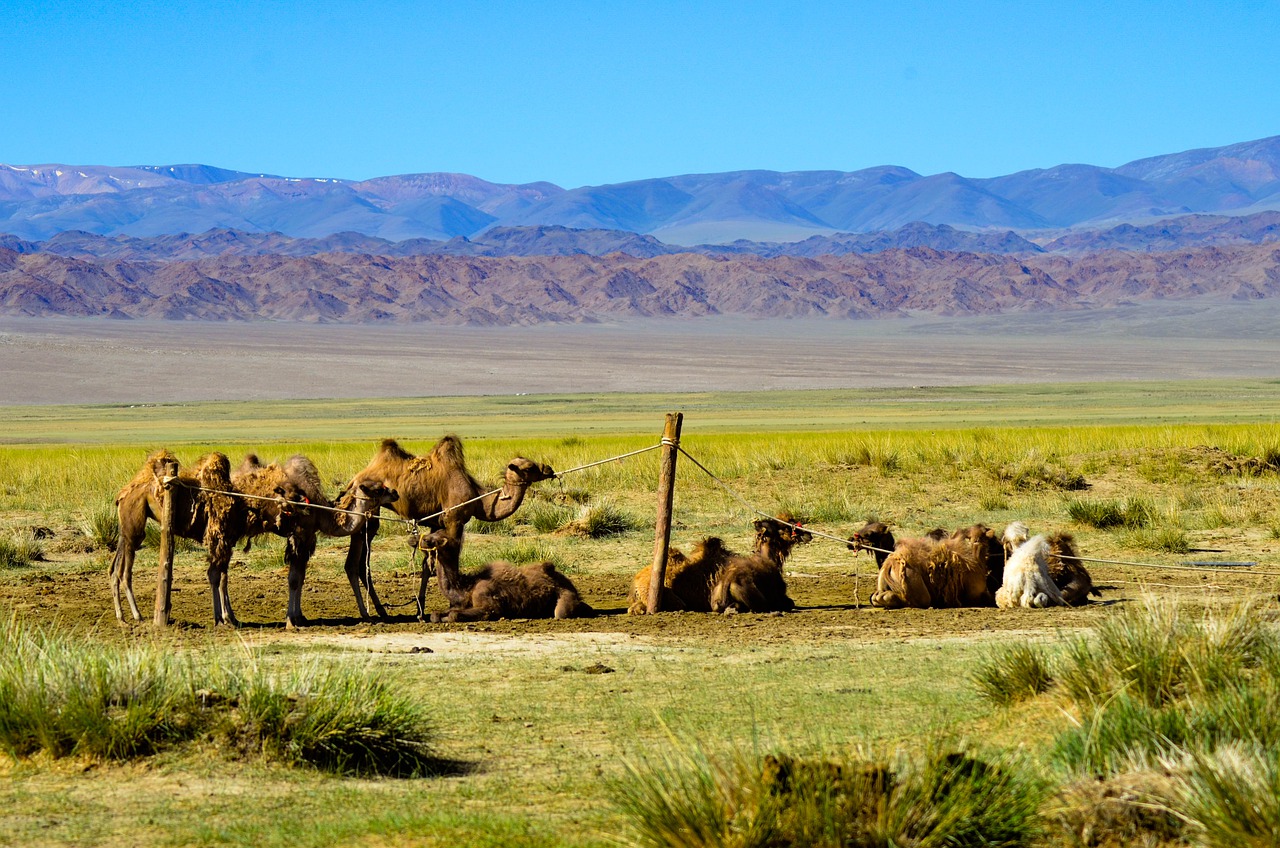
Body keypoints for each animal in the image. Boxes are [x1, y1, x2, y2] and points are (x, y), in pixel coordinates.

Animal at [110, 449, 301, 626]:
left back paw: (122, 617)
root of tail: (122, 495)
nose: (300, 505)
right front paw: (222, 618)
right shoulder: (220, 540)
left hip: (125, 533)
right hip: (133, 529)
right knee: (124, 573)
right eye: (287, 497)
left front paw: (230, 617)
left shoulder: (226, 543)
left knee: (114, 569)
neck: (243, 505)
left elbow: (222, 577)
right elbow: (216, 577)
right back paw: (136, 615)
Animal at [233, 454, 400, 628]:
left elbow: (301, 577)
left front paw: (299, 617)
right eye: (378, 489)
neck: (321, 513)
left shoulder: (308, 537)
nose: (395, 492)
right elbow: (294, 579)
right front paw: (290, 621)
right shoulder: (299, 534)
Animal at [342, 437, 555, 621]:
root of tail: (354, 480)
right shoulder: (455, 520)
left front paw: (420, 611)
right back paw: (371, 613)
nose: (548, 469)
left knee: (360, 563)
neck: (479, 501)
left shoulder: (436, 524)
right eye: (529, 467)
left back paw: (380, 611)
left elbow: (428, 564)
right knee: (355, 563)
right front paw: (455, 602)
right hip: (367, 511)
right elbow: (452, 554)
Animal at [411, 530, 588, 622]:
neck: (467, 588)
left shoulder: (490, 604)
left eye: (430, 539)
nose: (412, 538)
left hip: (565, 599)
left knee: (560, 613)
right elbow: (436, 614)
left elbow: (455, 614)